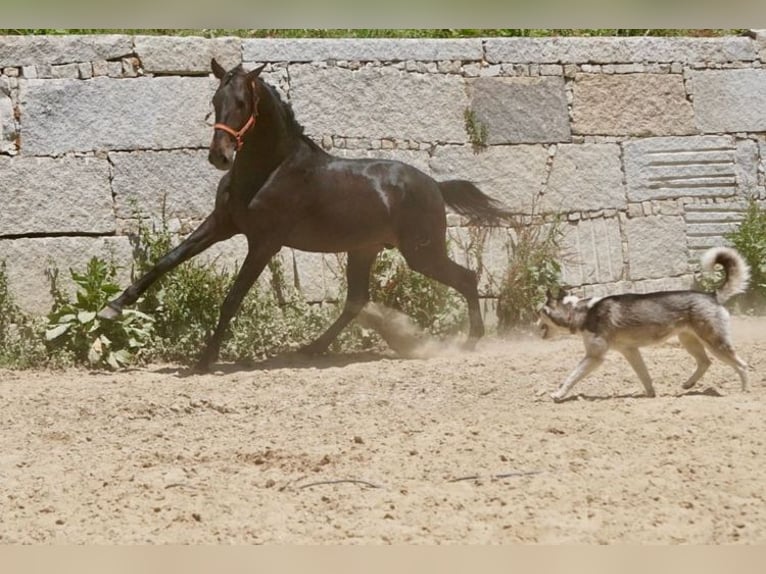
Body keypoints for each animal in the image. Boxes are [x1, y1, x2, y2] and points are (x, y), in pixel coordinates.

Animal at [99, 59, 512, 374]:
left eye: (242, 103)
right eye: (215, 100)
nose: (219, 156)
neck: (270, 170)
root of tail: (434, 185)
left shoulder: (264, 242)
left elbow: (233, 298)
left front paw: (205, 359)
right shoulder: (222, 225)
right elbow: (165, 261)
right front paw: (112, 308)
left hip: (421, 252)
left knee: (466, 277)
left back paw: (471, 341)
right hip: (364, 249)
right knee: (357, 300)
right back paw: (311, 349)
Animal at [540, 248, 752, 404]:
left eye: (539, 312)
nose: (535, 325)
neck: (579, 311)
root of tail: (712, 295)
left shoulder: (594, 357)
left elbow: (571, 377)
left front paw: (558, 395)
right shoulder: (630, 351)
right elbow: (645, 376)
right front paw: (651, 394)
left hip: (715, 344)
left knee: (742, 366)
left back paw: (744, 392)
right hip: (689, 341)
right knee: (705, 362)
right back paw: (688, 384)